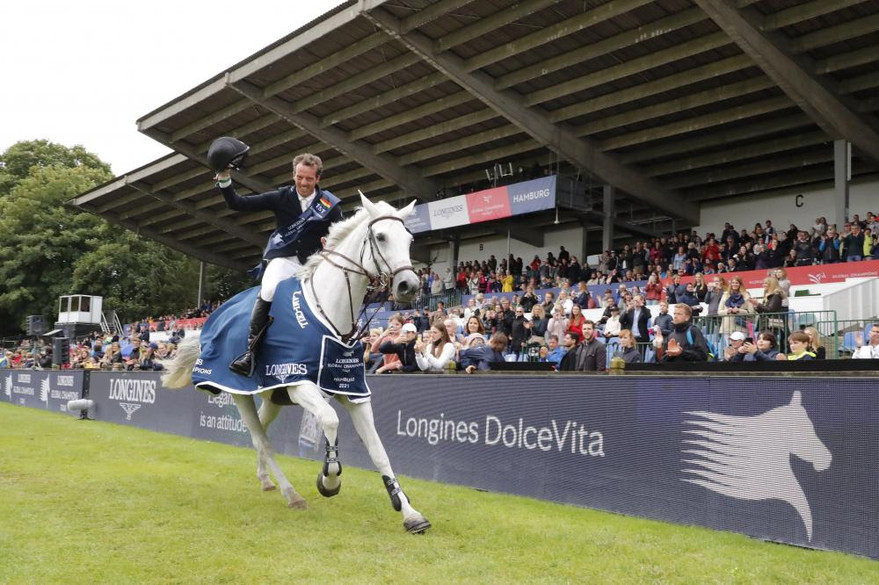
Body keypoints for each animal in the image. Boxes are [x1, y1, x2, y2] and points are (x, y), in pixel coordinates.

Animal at [163, 194, 432, 532]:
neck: (330, 315)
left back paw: (266, 480)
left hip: (270, 397)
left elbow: (378, 450)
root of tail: (213, 317)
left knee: (261, 435)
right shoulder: (298, 382)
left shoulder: (354, 393)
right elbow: (330, 421)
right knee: (262, 440)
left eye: (409, 240)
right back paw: (292, 495)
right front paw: (329, 480)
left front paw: (410, 513)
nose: (409, 286)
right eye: (381, 237)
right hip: (240, 393)